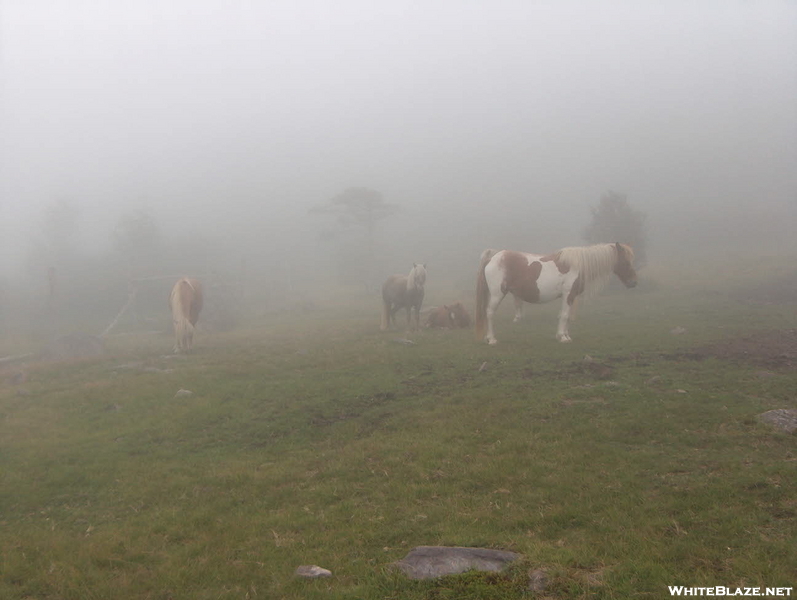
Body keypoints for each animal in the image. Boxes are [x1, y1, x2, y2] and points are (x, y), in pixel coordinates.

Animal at [476, 243, 636, 344]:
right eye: (626, 262)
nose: (633, 282)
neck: (577, 265)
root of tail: (492, 258)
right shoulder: (568, 294)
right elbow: (564, 315)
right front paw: (562, 337)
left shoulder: (571, 297)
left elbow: (566, 316)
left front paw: (565, 336)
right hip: (497, 294)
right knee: (489, 313)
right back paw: (491, 339)